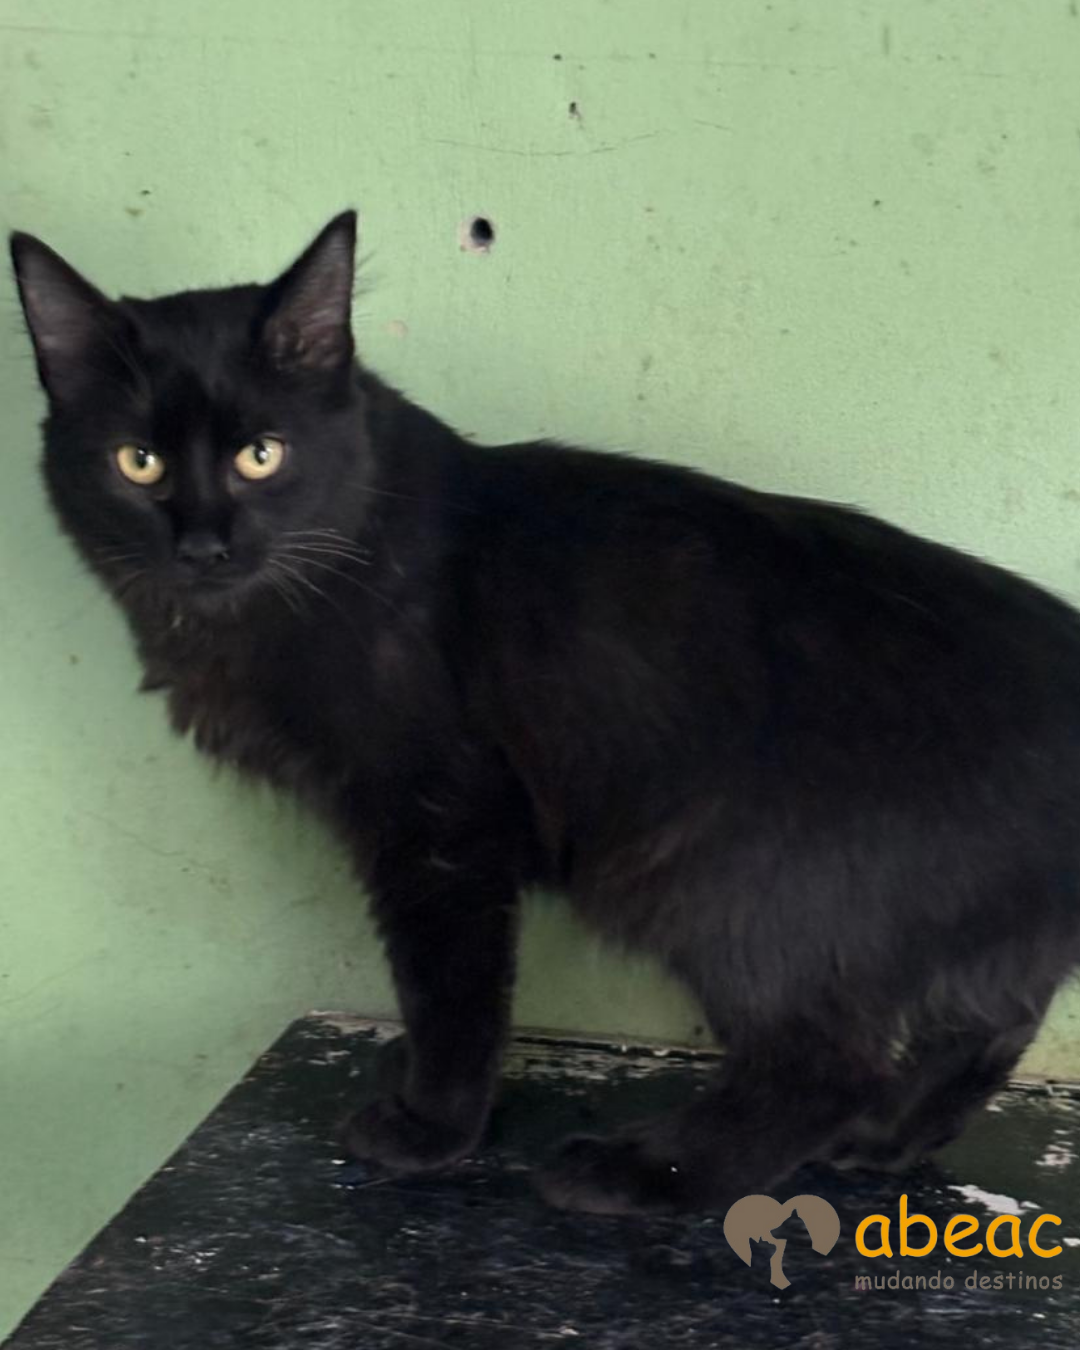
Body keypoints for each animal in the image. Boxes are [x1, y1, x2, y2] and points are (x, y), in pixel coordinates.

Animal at [10, 212, 1080, 1216]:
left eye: (261, 456)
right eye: (138, 463)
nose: (203, 544)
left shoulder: (438, 825)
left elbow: (449, 986)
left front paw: (433, 1125)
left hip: (721, 880)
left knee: (827, 1063)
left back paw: (640, 1171)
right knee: (986, 1025)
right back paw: (887, 1139)